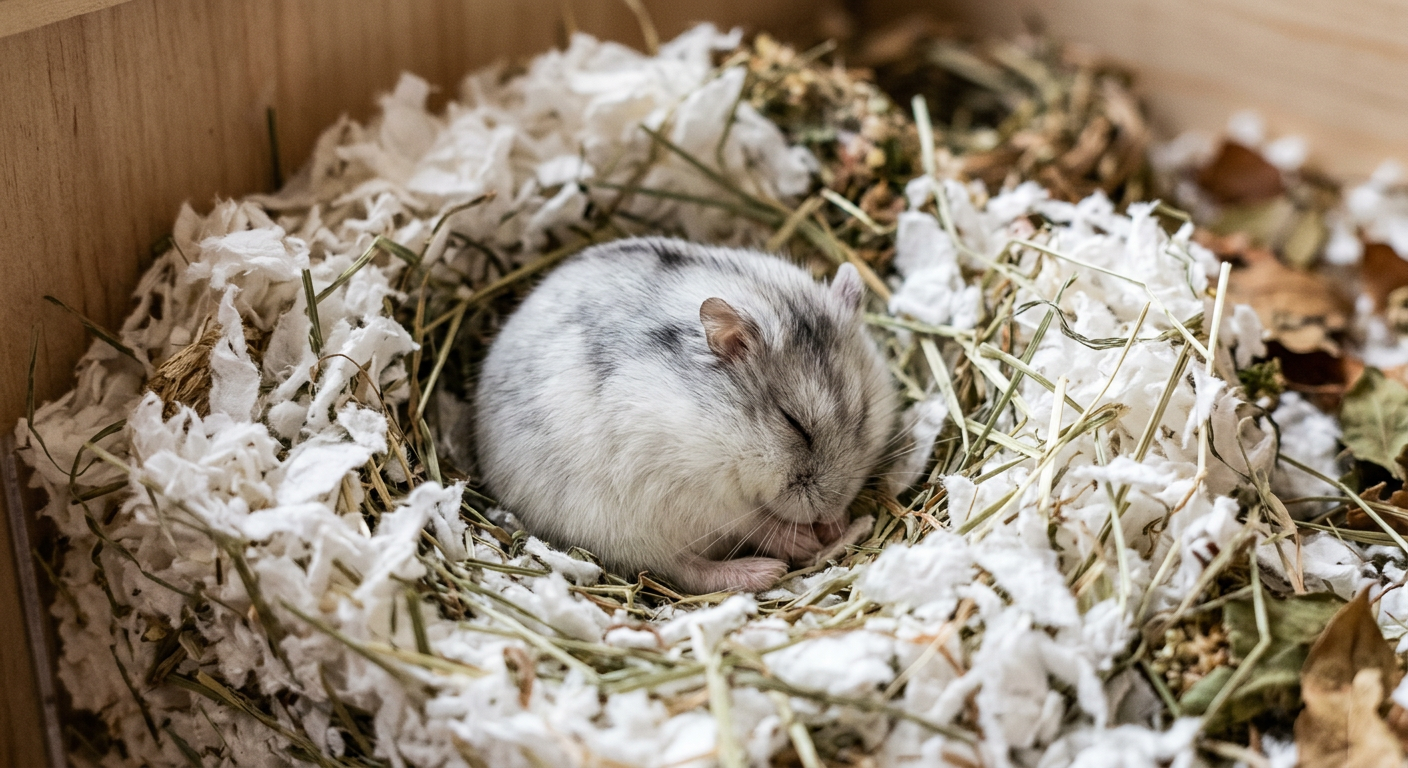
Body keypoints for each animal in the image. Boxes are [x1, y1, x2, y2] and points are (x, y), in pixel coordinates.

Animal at [473, 237, 898, 593]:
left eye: (864, 416)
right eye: (792, 422)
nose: (829, 513)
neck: (713, 425)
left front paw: (833, 527)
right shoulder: (693, 490)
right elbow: (750, 520)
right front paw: (805, 538)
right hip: (618, 529)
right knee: (683, 569)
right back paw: (765, 570)